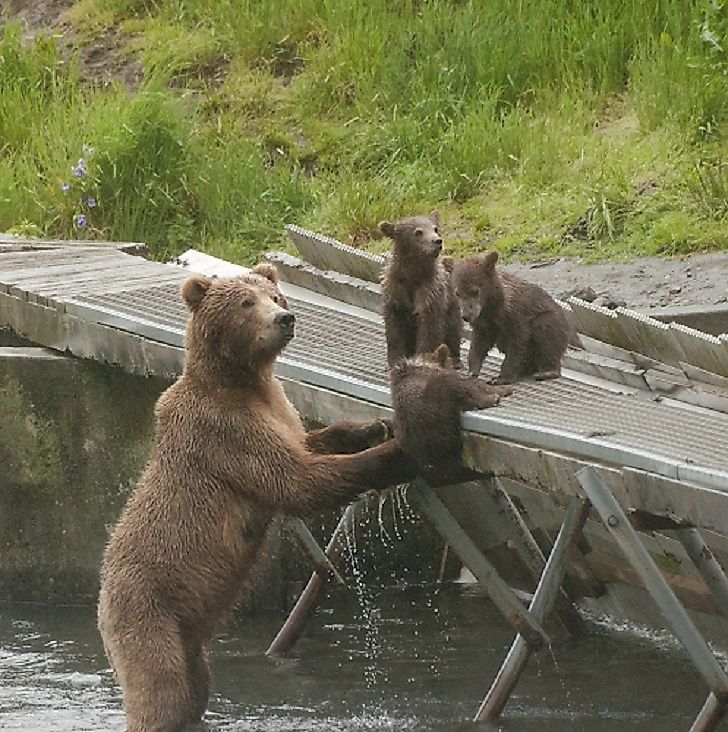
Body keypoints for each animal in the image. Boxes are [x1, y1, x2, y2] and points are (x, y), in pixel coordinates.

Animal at [97, 263, 417, 732]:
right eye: (247, 303)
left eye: (275, 296)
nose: (285, 319)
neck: (245, 380)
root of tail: (101, 596)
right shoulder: (226, 431)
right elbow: (298, 480)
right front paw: (396, 452)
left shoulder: (280, 410)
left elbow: (308, 443)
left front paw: (374, 427)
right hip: (148, 616)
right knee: (161, 694)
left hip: (188, 640)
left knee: (194, 689)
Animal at [379, 211, 463, 368]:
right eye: (418, 232)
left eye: (435, 228)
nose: (437, 241)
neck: (413, 276)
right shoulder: (395, 292)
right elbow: (394, 330)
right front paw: (396, 359)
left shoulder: (430, 292)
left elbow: (429, 327)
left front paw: (423, 357)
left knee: (453, 331)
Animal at [452, 250, 569, 384]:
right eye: (458, 293)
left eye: (474, 291)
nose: (466, 316)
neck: (490, 306)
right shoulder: (483, 323)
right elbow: (478, 344)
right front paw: (472, 372)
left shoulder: (514, 315)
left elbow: (518, 342)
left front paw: (501, 377)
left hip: (550, 318)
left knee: (547, 334)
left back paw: (547, 371)